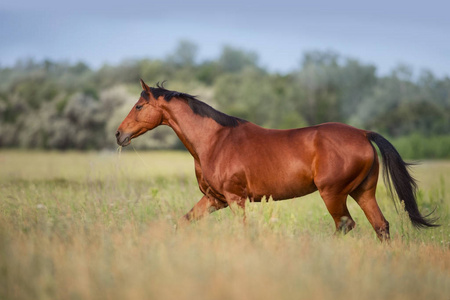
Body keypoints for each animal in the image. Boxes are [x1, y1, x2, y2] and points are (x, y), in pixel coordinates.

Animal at [114, 79, 438, 241]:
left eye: (139, 105)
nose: (118, 134)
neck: (215, 141)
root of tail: (363, 133)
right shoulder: (214, 199)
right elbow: (182, 223)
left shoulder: (235, 199)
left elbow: (243, 232)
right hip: (363, 192)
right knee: (381, 226)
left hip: (333, 194)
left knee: (345, 225)